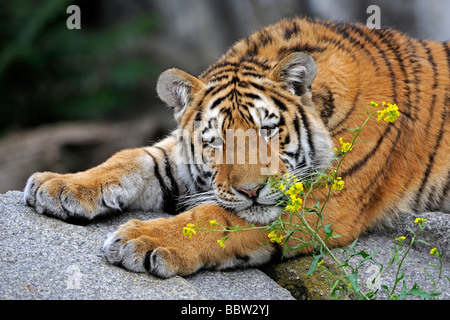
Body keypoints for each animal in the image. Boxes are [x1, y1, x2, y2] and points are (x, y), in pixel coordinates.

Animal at [24, 16, 450, 278]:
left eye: (269, 130)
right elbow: (131, 158)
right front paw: (59, 185)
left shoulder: (325, 201)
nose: (251, 191)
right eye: (215, 140)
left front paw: (142, 240)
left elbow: (217, 219)